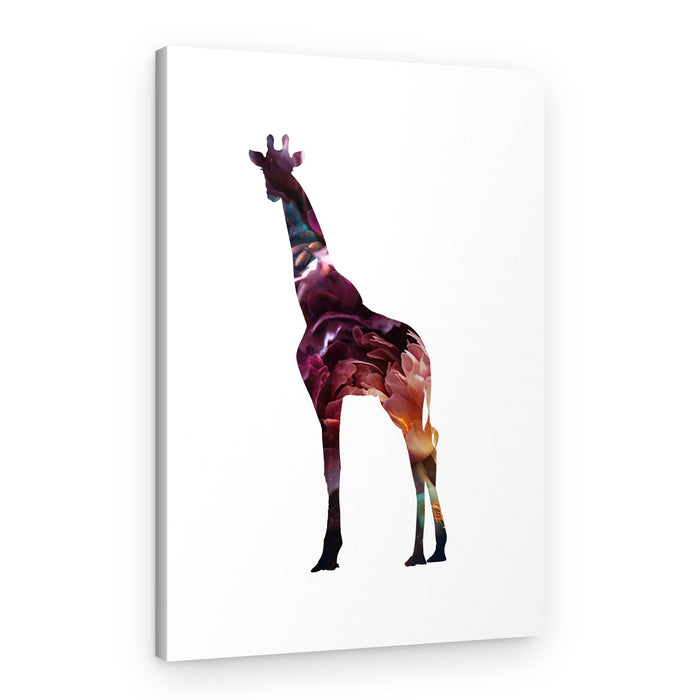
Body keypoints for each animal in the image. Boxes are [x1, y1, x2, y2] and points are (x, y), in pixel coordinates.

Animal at [249, 134, 447, 571]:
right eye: (268, 167)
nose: (274, 192)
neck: (312, 298)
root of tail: (422, 351)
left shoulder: (322, 395)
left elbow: (332, 470)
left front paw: (328, 554)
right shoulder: (334, 399)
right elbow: (335, 469)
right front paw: (332, 551)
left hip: (401, 403)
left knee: (421, 459)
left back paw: (423, 553)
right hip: (408, 405)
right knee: (425, 459)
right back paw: (431, 552)